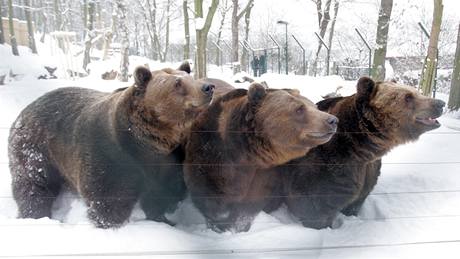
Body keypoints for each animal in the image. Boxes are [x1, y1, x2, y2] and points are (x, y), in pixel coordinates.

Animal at [7, 65, 216, 230]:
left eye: (190, 76)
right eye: (176, 83)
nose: (208, 87)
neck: (147, 144)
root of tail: (25, 109)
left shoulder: (168, 161)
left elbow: (160, 194)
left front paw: (163, 220)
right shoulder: (110, 155)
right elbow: (108, 196)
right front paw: (111, 224)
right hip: (37, 149)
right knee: (34, 184)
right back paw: (35, 215)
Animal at [183, 84, 338, 234]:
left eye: (314, 106)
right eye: (299, 109)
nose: (332, 120)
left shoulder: (263, 176)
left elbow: (250, 206)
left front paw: (239, 226)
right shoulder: (209, 160)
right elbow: (212, 203)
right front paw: (220, 225)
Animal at [266, 76, 446, 230]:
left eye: (416, 91)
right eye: (408, 97)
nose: (440, 103)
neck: (358, 148)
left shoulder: (366, 171)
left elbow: (356, 199)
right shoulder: (319, 171)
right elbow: (313, 206)